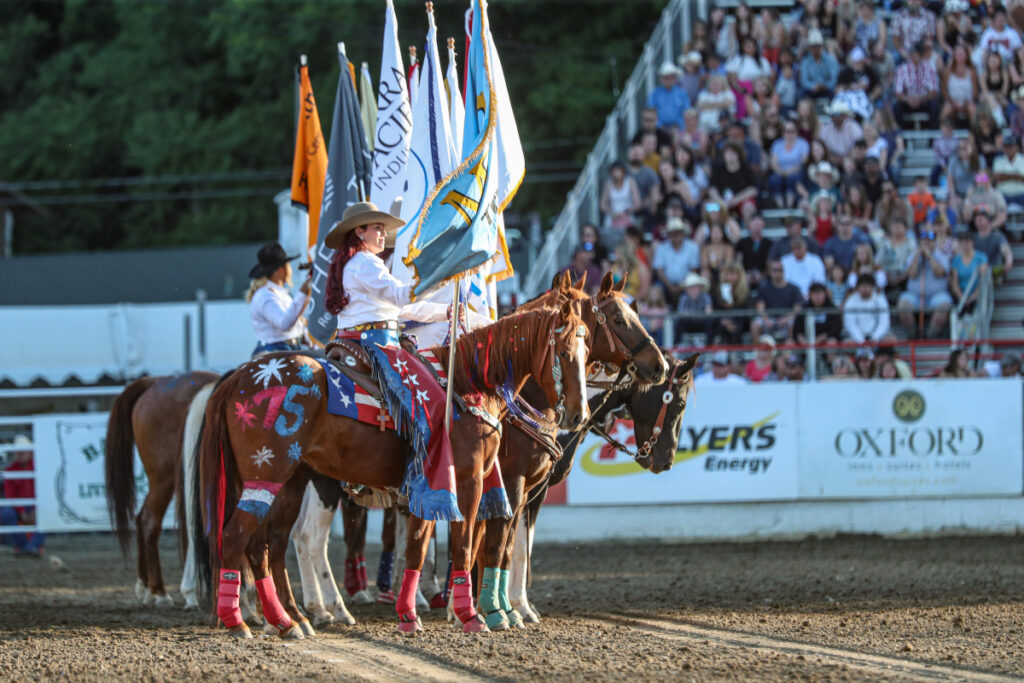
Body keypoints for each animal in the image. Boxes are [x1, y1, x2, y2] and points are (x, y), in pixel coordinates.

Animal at [105, 374, 218, 610]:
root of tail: (152, 382)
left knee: (141, 518)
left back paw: (146, 588)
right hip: (164, 477)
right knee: (150, 521)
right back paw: (161, 593)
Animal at [194, 301, 589, 638]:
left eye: (588, 355)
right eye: (564, 352)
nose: (578, 415)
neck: (466, 386)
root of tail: (239, 377)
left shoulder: (430, 489)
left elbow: (418, 546)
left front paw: (410, 616)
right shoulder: (472, 481)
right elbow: (467, 545)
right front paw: (473, 615)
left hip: (287, 481)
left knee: (268, 545)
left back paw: (288, 620)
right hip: (268, 474)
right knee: (238, 538)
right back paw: (241, 621)